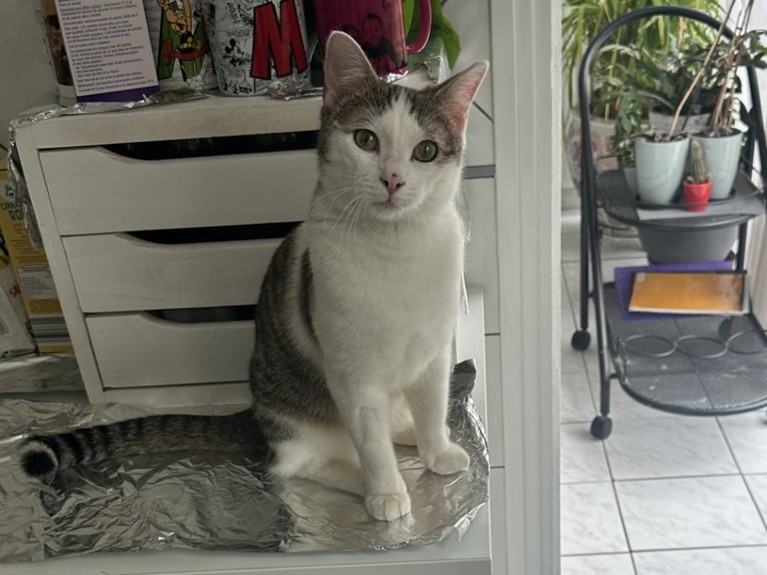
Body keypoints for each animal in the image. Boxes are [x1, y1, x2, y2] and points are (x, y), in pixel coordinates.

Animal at [19, 31, 488, 523]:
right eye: (365, 139)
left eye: (426, 151)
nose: (393, 179)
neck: (397, 249)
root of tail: (256, 414)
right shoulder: (352, 374)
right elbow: (370, 441)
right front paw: (385, 489)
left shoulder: (434, 352)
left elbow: (433, 406)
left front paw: (437, 450)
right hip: (294, 417)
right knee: (295, 464)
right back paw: (367, 481)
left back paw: (408, 434)